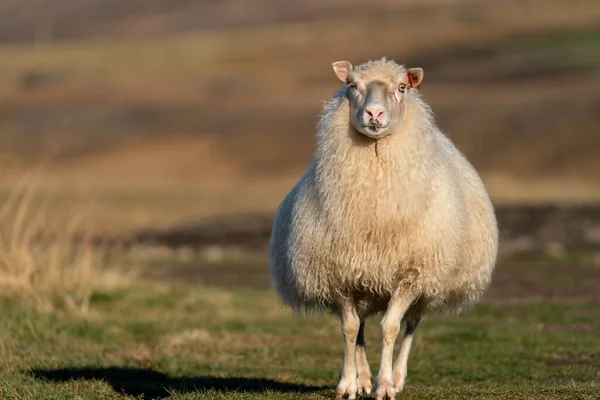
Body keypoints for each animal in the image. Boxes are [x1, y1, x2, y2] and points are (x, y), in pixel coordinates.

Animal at [270, 57, 500, 400]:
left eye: (402, 87)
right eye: (352, 85)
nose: (374, 114)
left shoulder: (411, 275)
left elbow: (391, 327)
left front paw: (386, 385)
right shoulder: (341, 276)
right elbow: (350, 329)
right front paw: (348, 383)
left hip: (428, 284)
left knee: (412, 324)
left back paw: (398, 376)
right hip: (365, 281)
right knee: (362, 327)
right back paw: (362, 378)